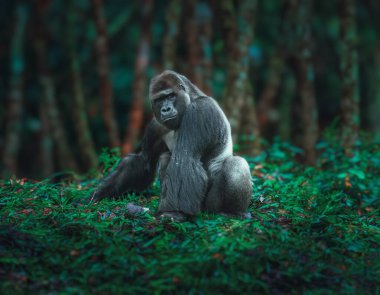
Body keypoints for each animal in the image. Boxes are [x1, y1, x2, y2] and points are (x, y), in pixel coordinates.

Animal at [90, 70, 252, 221]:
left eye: (170, 96)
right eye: (159, 99)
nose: (165, 109)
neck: (191, 97)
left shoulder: (201, 110)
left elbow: (185, 159)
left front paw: (172, 213)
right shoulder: (156, 125)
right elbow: (143, 161)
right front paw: (98, 194)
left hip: (208, 208)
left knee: (236, 164)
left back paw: (230, 212)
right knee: (165, 158)